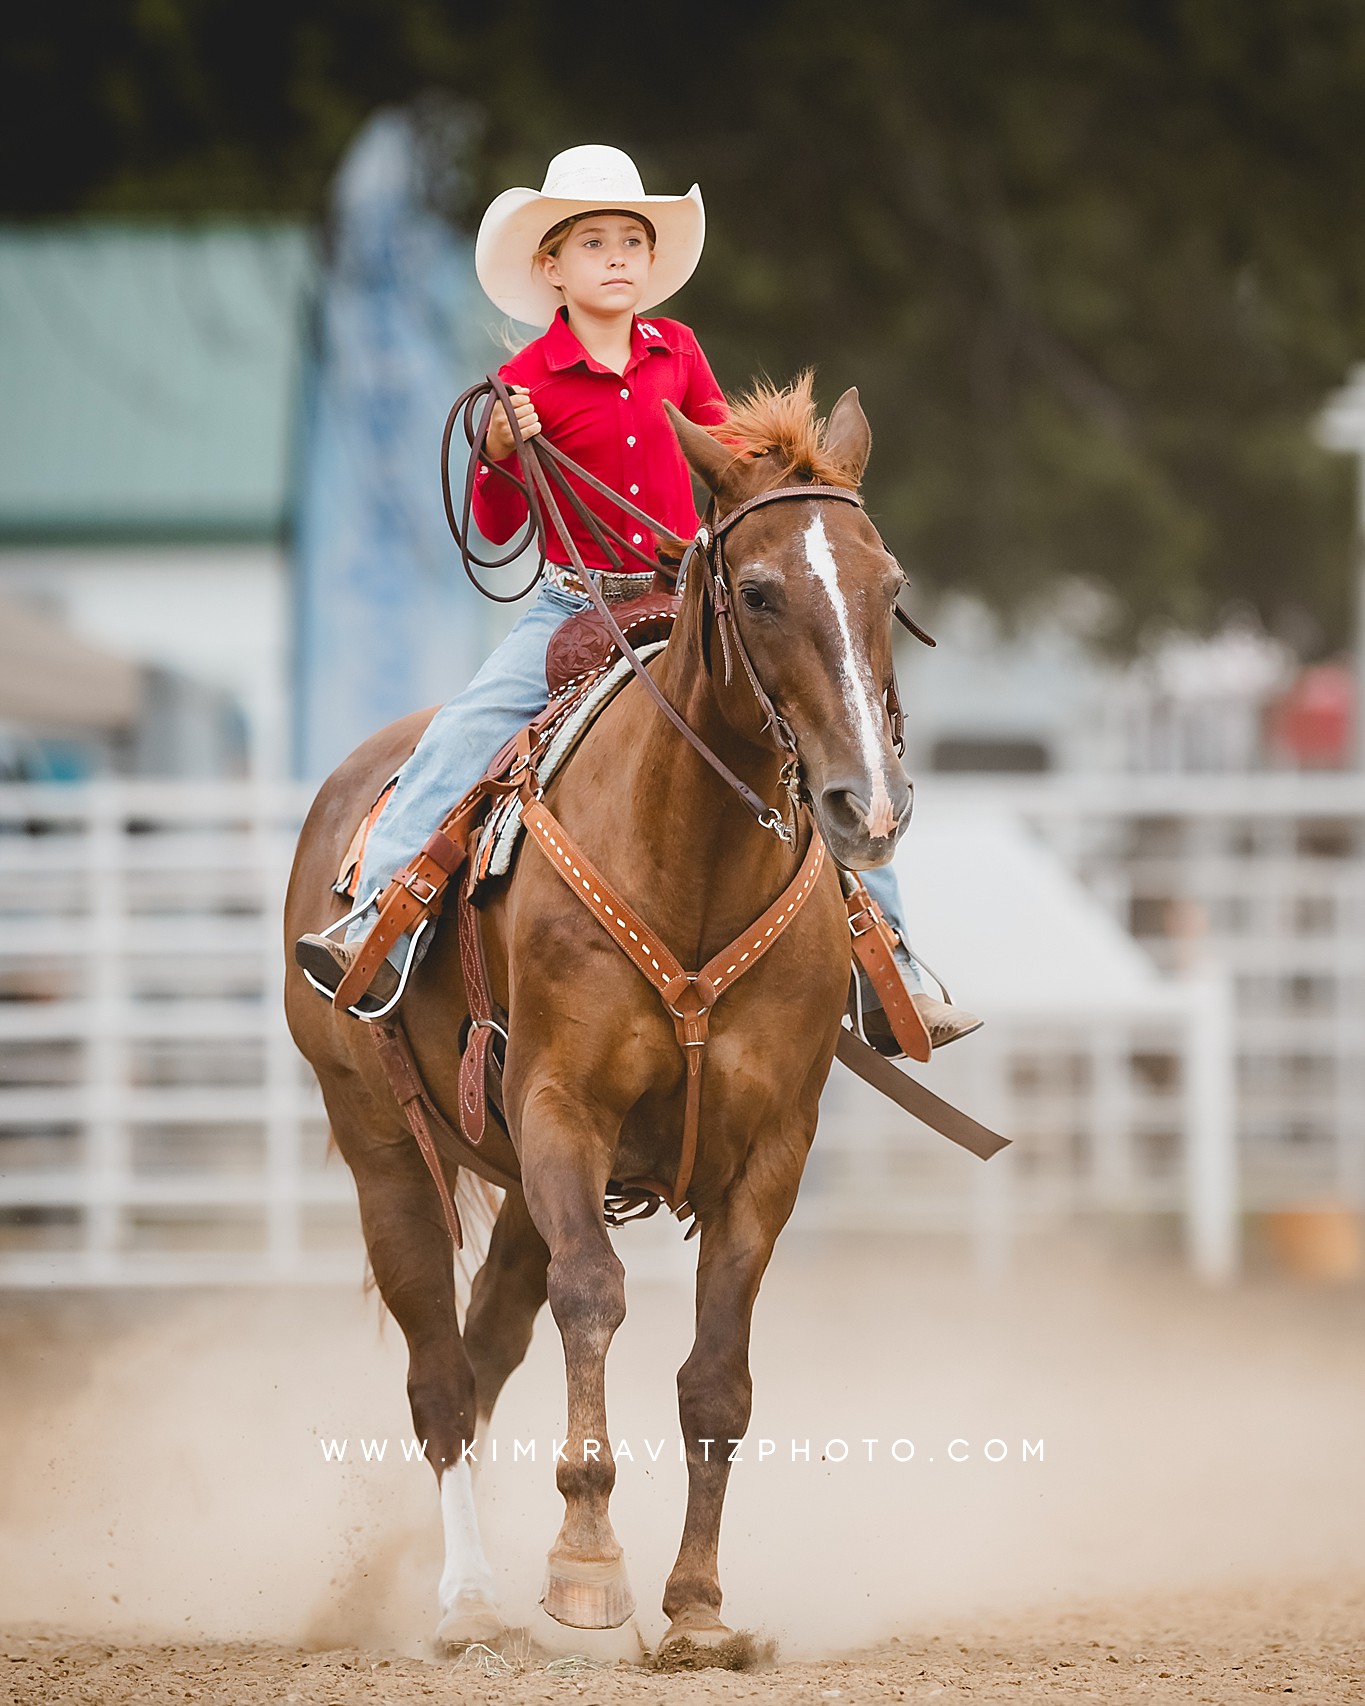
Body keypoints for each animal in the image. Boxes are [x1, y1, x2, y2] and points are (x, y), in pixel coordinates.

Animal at [283, 380, 914, 1658]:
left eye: (890, 586)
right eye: (759, 590)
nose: (865, 807)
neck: (691, 861)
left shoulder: (772, 1149)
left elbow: (717, 1375)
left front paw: (700, 1608)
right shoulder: (561, 1106)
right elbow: (596, 1296)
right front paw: (585, 1560)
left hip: (519, 1178)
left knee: (486, 1348)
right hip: (386, 1149)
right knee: (440, 1375)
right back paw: (468, 1598)